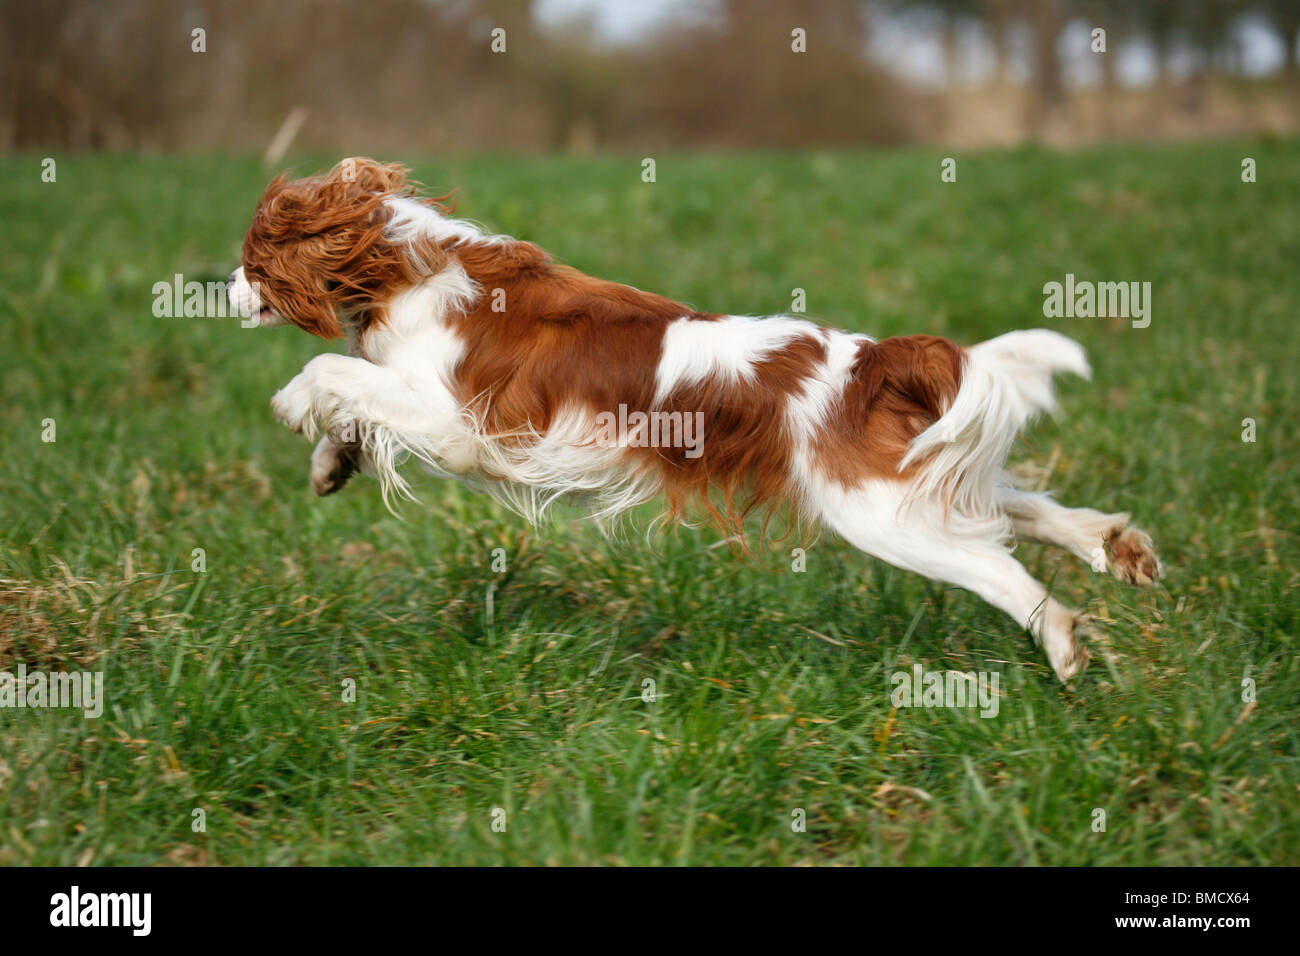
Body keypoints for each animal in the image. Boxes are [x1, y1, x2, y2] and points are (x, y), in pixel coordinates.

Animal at [228, 157, 1164, 681]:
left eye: (251, 260)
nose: (220, 285)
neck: (403, 259)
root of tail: (871, 360)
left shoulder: (461, 427)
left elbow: (330, 370)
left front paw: (296, 406)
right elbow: (354, 395)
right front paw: (332, 461)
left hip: (880, 514)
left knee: (1000, 567)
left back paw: (1062, 642)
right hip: (905, 480)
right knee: (1023, 510)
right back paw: (1114, 546)